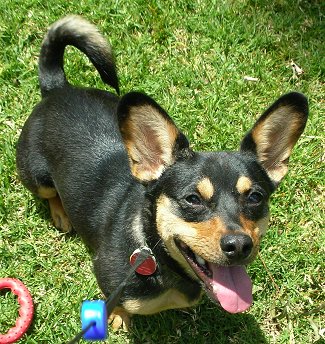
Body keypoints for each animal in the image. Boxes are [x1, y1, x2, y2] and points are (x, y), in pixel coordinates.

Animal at [16, 15, 308, 328]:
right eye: (192, 199)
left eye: (255, 197)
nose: (240, 245)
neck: (152, 249)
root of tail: (58, 88)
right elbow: (117, 303)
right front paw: (118, 318)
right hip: (36, 175)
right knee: (48, 192)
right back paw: (60, 213)